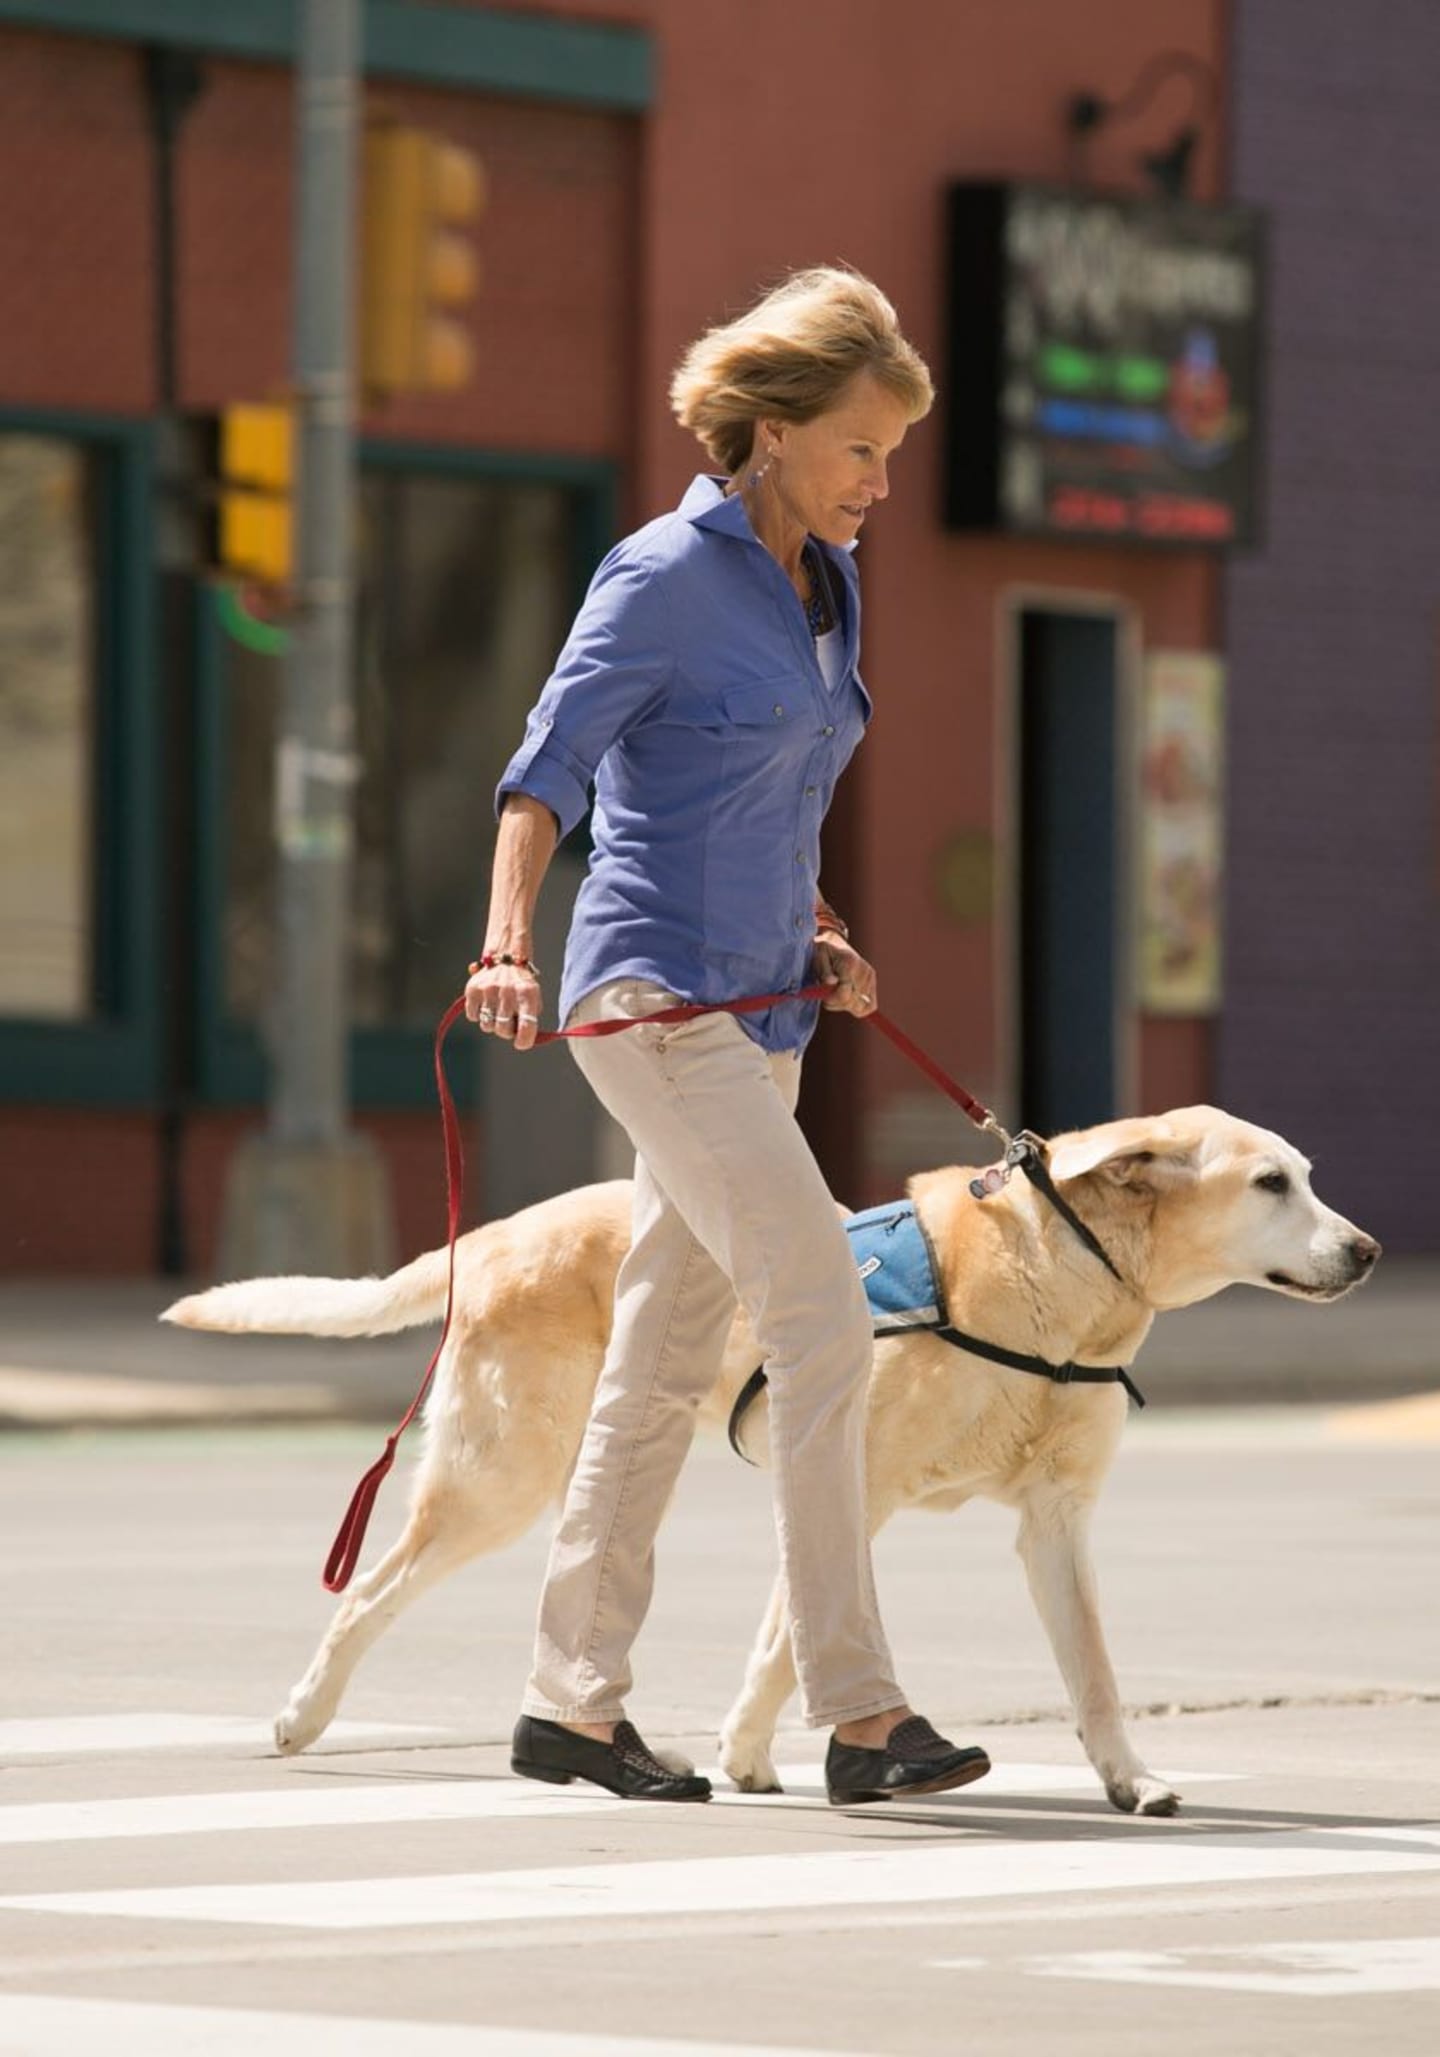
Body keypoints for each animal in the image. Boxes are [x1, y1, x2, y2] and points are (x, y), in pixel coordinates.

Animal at [168, 1110, 1382, 1818]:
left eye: (1307, 1176)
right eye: (1271, 1184)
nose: (1368, 1249)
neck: (1064, 1285)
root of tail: (501, 1231)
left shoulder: (1056, 1521)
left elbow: (1090, 1673)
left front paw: (1131, 1778)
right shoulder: (859, 1481)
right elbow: (796, 1635)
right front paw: (798, 1752)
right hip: (499, 1476)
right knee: (369, 1589)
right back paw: (303, 1717)